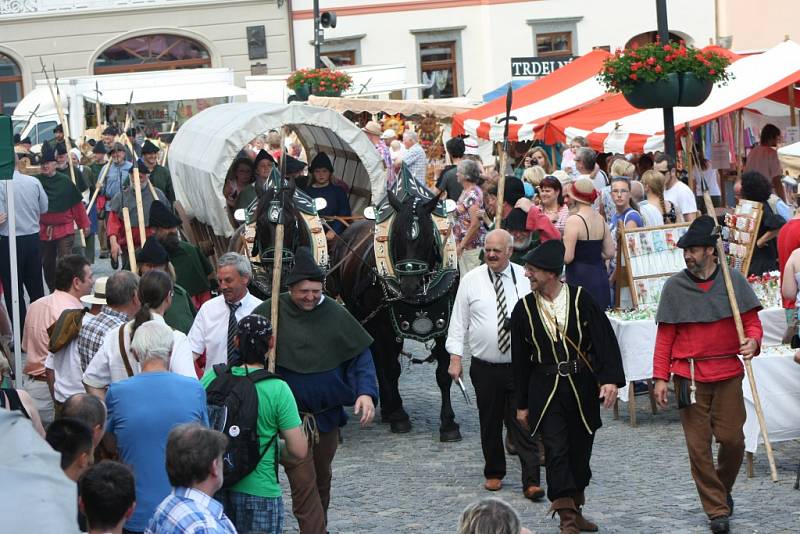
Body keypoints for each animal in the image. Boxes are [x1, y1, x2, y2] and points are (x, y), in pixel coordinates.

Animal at [326, 188, 462, 444]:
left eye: (428, 238)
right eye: (396, 236)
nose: (409, 285)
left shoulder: (445, 325)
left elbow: (443, 372)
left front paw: (449, 423)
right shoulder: (384, 327)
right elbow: (390, 368)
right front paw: (399, 416)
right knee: (378, 359)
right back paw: (390, 408)